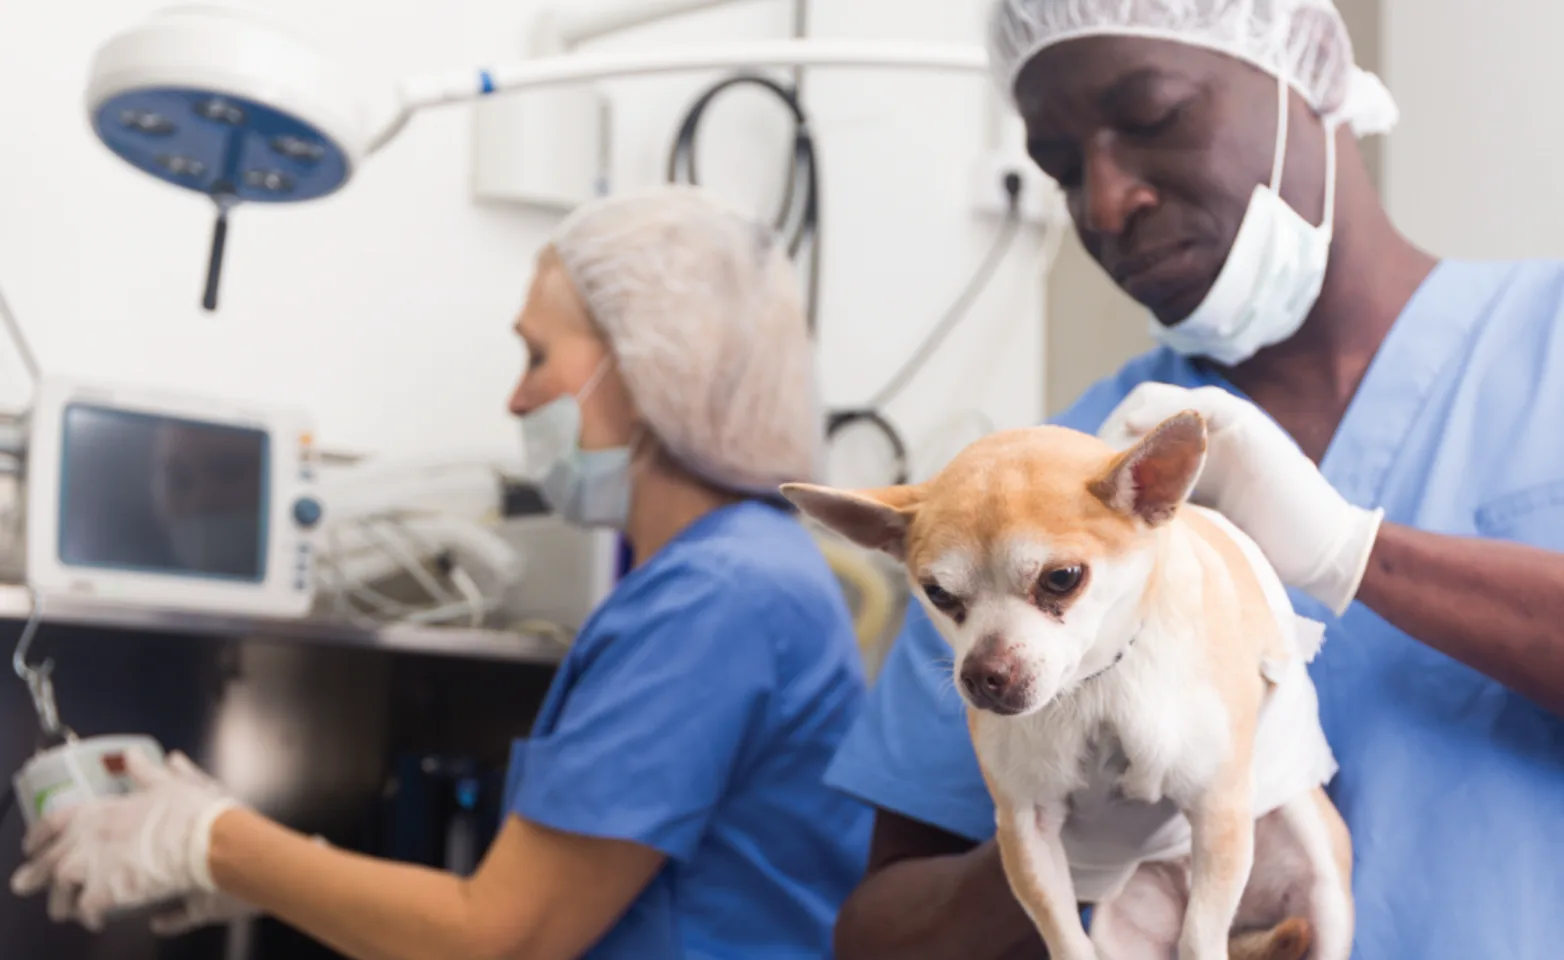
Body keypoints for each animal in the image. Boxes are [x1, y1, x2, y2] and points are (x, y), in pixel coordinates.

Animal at [788, 412, 1351, 960]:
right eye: (938, 594)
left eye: (1062, 578)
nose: (982, 675)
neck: (1094, 685)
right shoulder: (1026, 829)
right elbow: (1063, 935)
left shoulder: (1219, 809)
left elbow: (1199, 937)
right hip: (1124, 927)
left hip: (1317, 877)